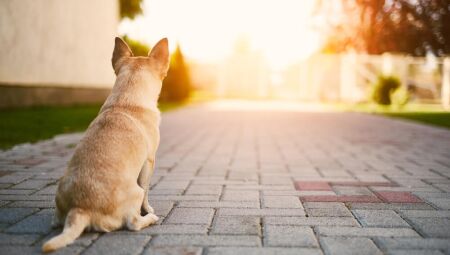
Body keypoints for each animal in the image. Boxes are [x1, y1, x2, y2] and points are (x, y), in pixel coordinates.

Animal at [42, 36, 170, 252]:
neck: (125, 101)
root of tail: (80, 209)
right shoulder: (149, 162)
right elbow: (146, 190)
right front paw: (148, 209)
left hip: (59, 206)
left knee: (55, 221)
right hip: (134, 196)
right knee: (134, 222)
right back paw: (150, 219)